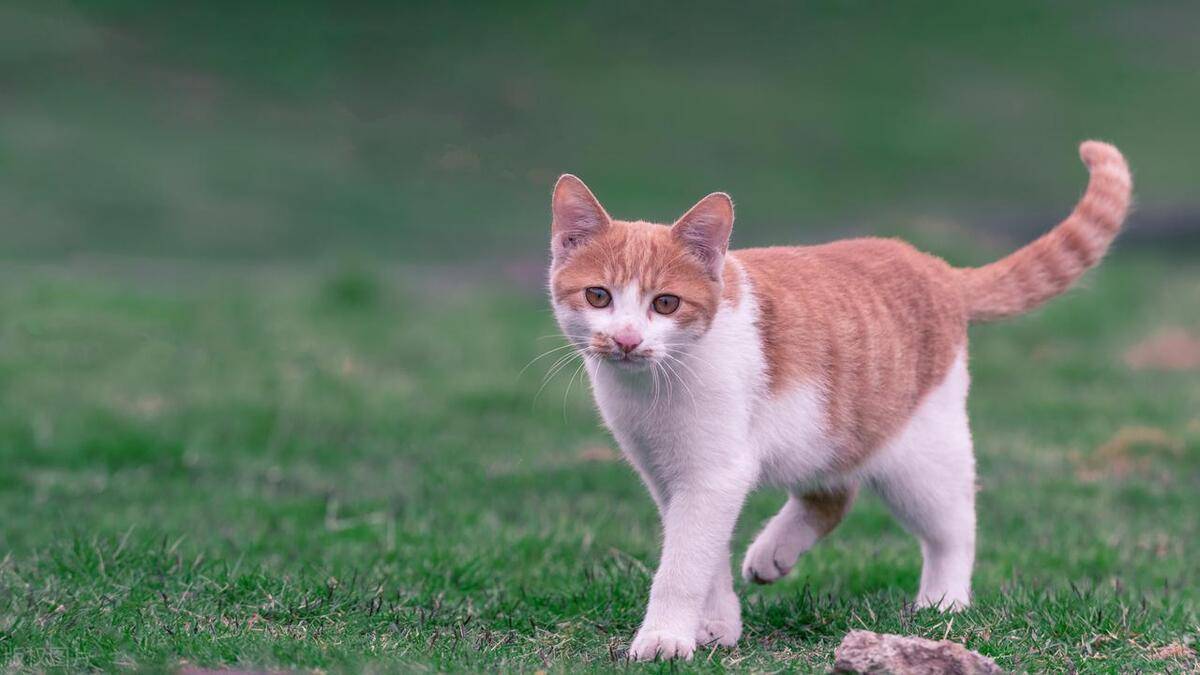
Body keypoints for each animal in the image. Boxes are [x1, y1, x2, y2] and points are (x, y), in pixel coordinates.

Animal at [549, 139, 1128, 658]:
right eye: (598, 296)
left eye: (665, 304)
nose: (626, 339)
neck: (652, 389)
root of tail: (934, 265)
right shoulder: (669, 474)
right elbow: (702, 550)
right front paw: (717, 624)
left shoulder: (713, 472)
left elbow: (684, 563)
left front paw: (665, 637)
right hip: (828, 430)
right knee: (835, 493)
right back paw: (773, 553)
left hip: (920, 455)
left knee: (954, 527)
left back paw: (943, 602)